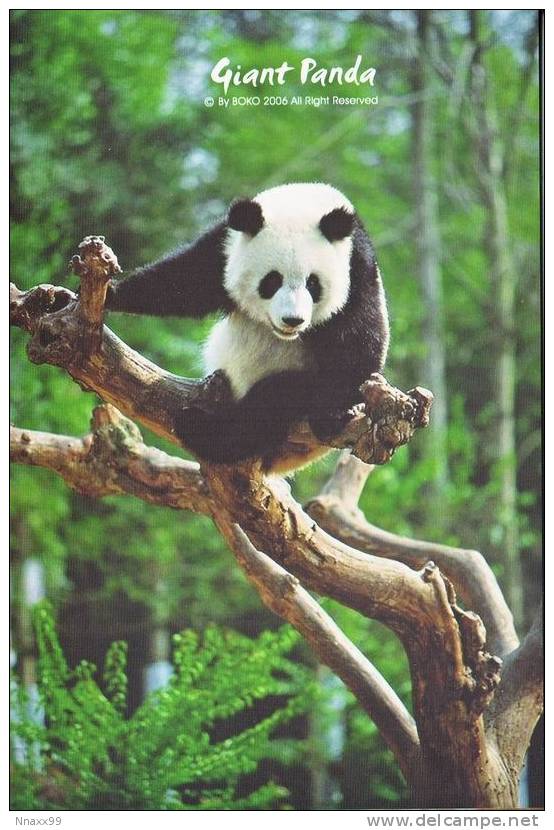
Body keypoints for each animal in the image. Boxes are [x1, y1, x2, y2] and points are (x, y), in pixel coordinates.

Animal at [104, 183, 388, 474]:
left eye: (313, 283)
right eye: (272, 281)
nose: (293, 320)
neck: (304, 203)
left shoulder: (357, 271)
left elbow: (358, 345)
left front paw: (331, 415)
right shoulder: (224, 246)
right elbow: (184, 283)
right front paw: (110, 293)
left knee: (273, 400)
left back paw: (200, 428)